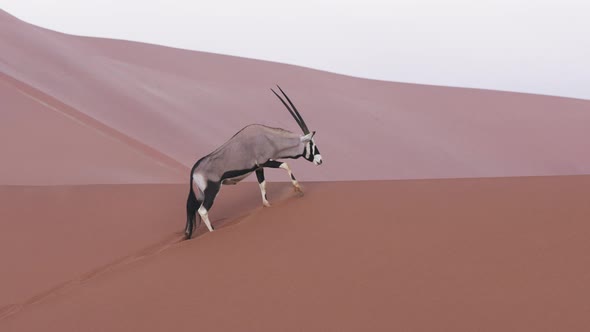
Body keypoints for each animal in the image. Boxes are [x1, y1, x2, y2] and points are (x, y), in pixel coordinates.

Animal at [185, 85, 324, 239]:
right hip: (212, 190)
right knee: (203, 210)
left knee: (194, 209)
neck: (269, 138)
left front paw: (267, 205)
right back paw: (213, 232)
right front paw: (298, 189)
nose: (320, 160)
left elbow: (262, 185)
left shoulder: (258, 168)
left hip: (202, 193)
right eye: (311, 143)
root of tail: (194, 169)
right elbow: (286, 164)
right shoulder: (265, 162)